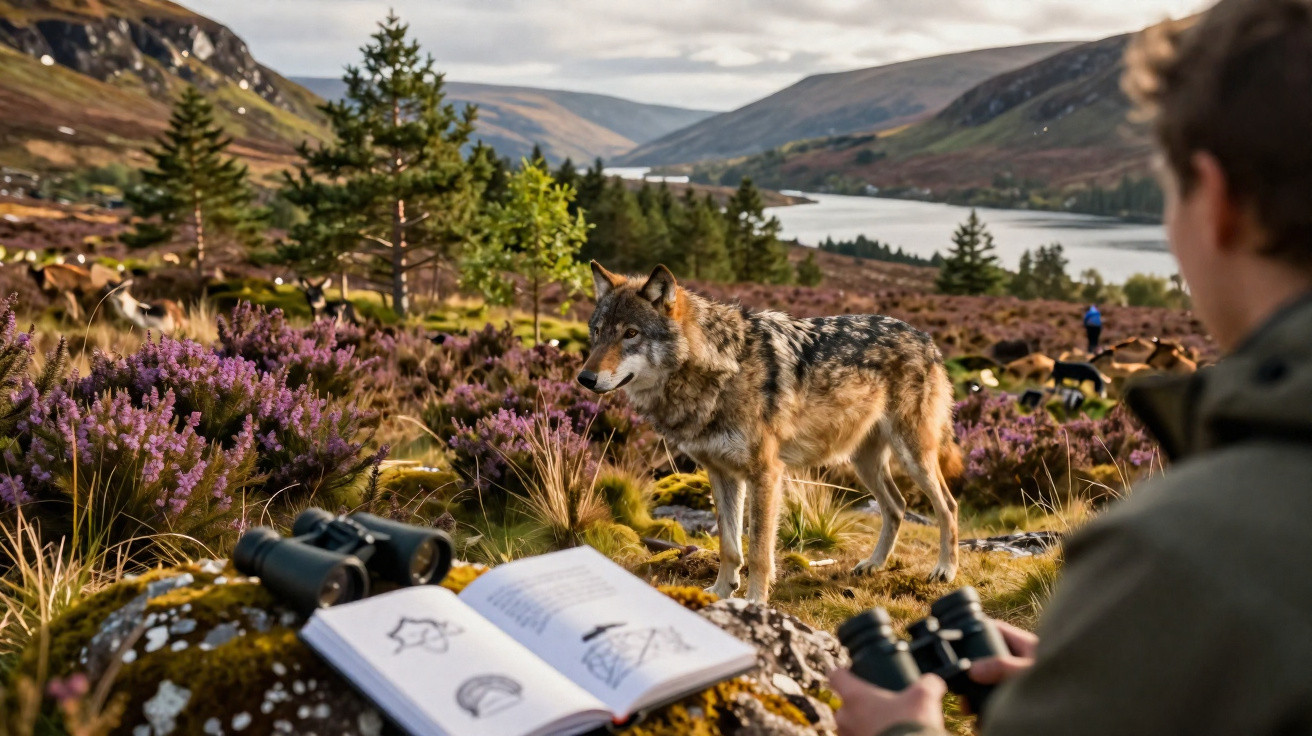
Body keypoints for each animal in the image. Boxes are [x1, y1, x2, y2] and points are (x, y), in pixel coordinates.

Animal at [577, 262, 962, 602]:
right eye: (597, 332)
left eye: (631, 334)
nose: (585, 378)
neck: (720, 369)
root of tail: (927, 339)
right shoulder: (721, 474)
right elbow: (730, 546)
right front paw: (720, 592)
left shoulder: (766, 473)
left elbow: (760, 551)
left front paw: (754, 602)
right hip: (863, 463)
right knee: (897, 506)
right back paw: (874, 564)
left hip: (914, 457)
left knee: (948, 505)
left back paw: (945, 570)